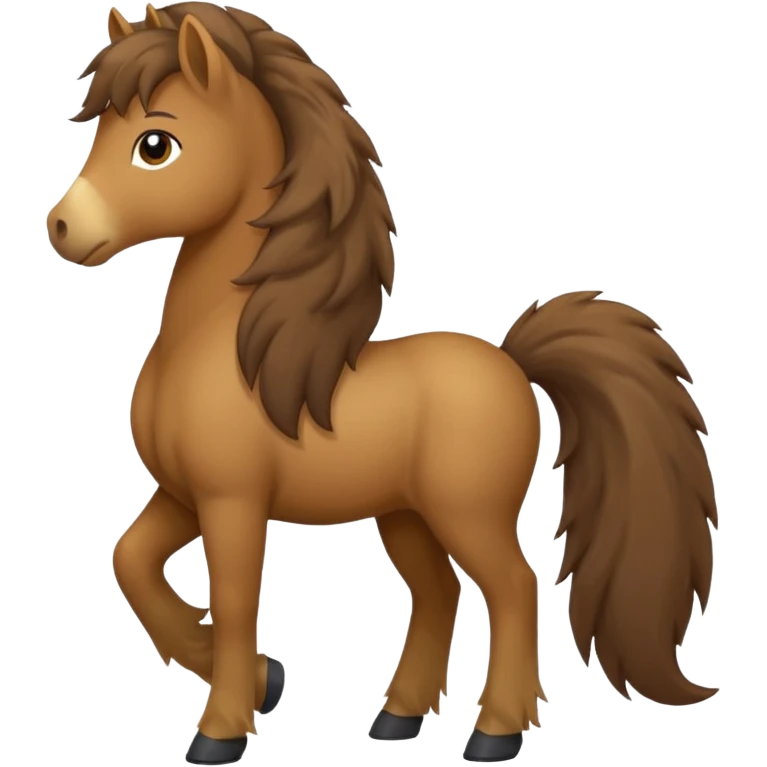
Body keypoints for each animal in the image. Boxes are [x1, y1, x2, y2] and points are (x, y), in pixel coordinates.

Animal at [47, 3, 719, 764]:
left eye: (155, 144)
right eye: (100, 131)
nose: (62, 227)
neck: (230, 349)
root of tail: (513, 364)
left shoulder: (231, 499)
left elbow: (236, 601)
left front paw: (219, 732)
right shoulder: (183, 494)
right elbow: (131, 562)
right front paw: (263, 681)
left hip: (467, 512)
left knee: (513, 588)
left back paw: (494, 734)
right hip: (405, 515)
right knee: (439, 593)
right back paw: (396, 719)